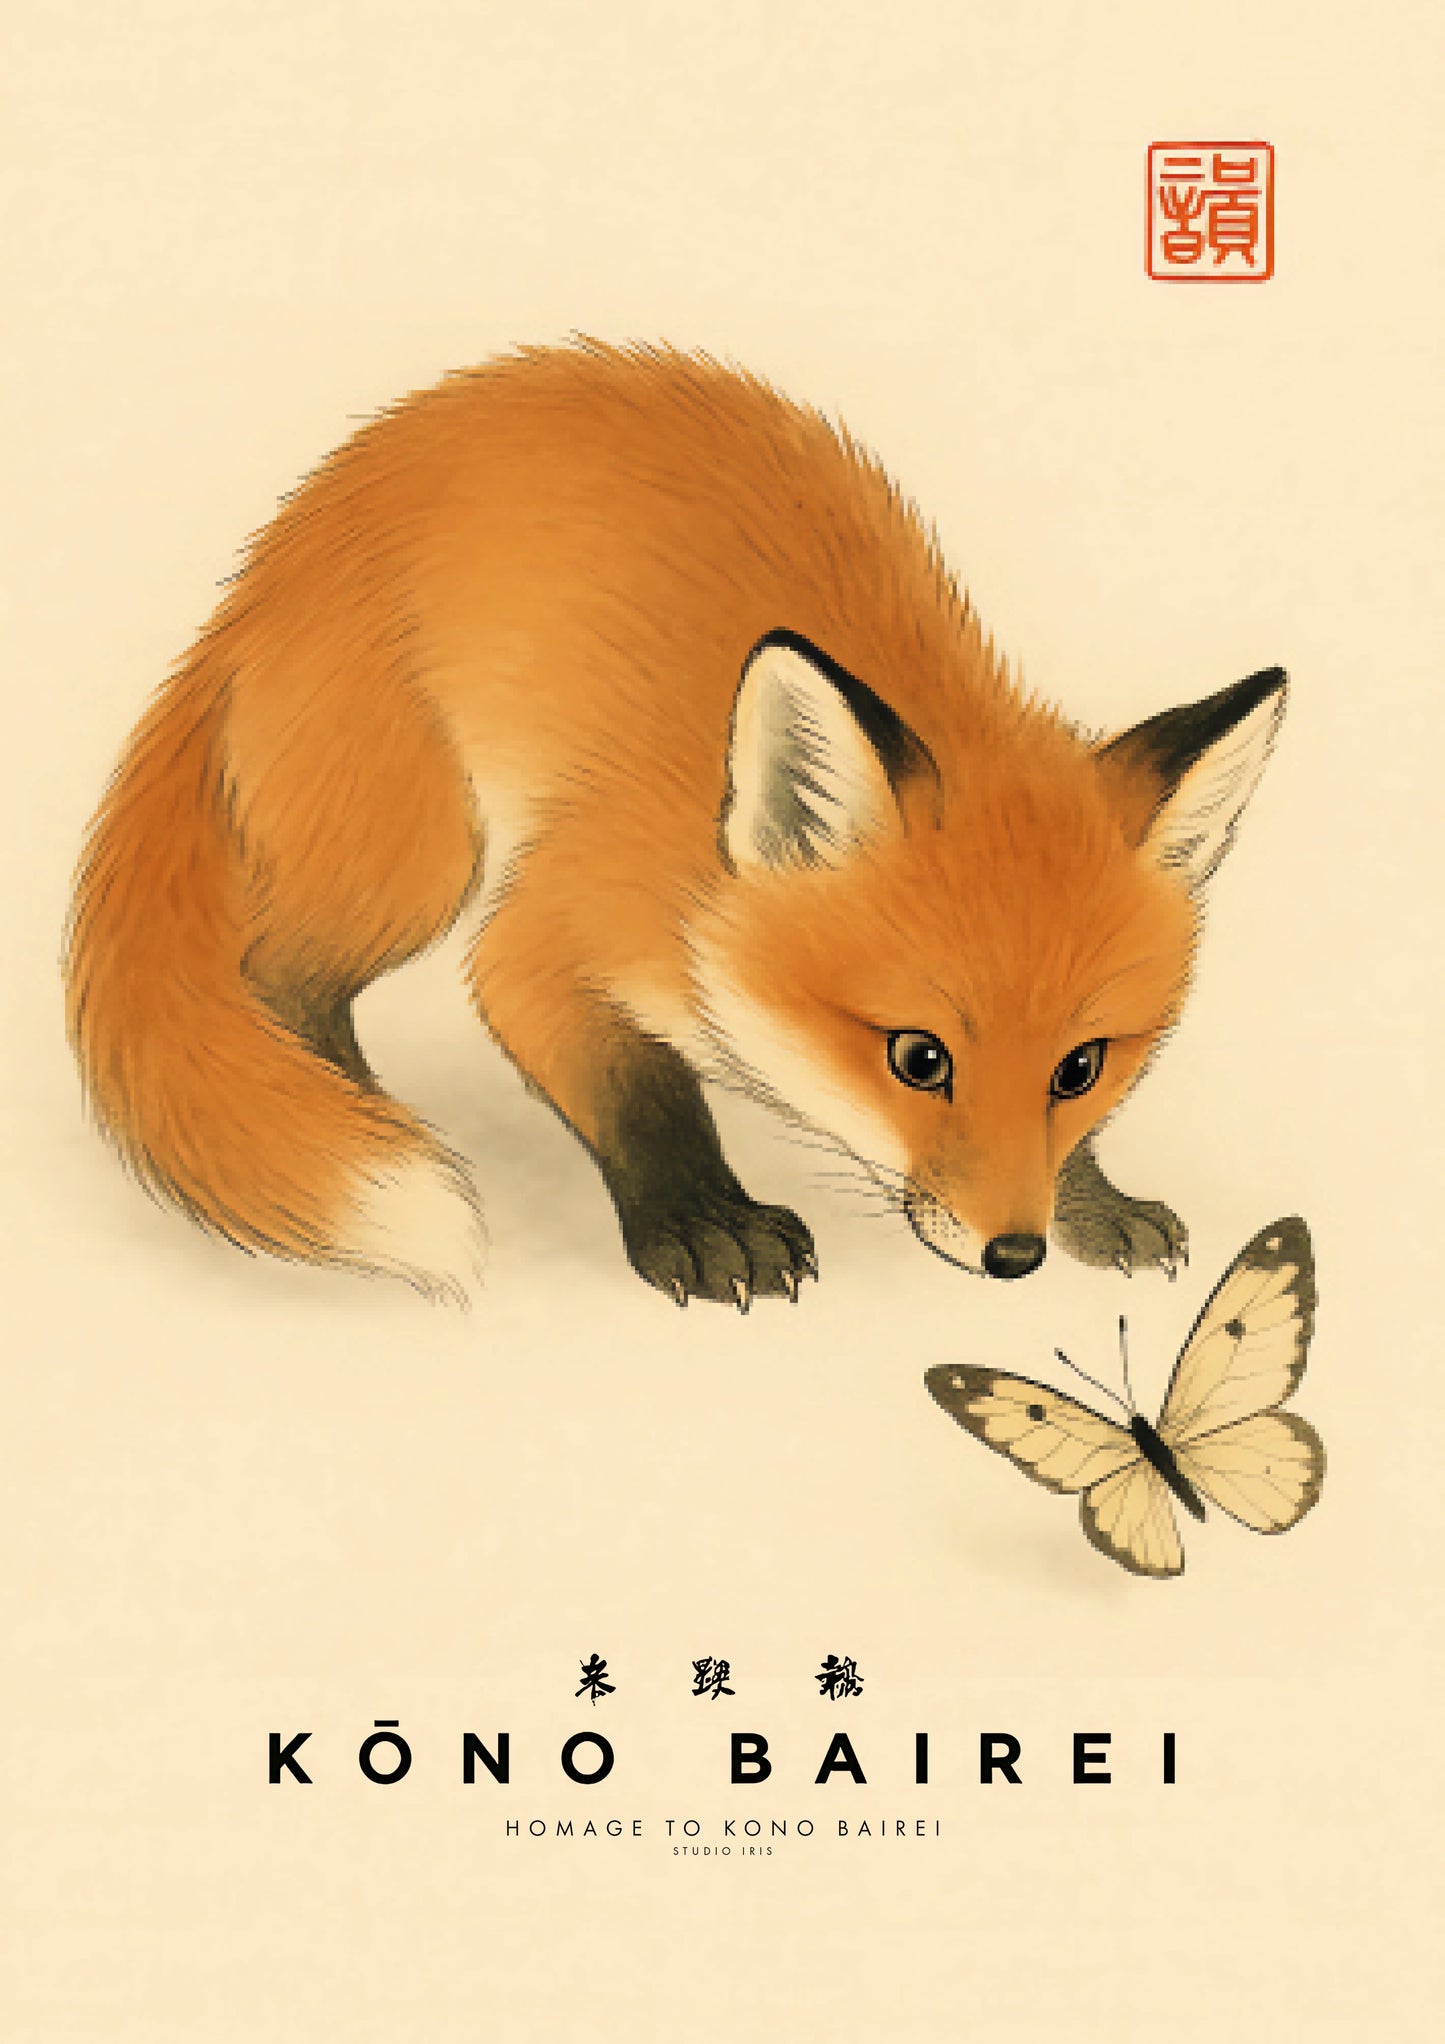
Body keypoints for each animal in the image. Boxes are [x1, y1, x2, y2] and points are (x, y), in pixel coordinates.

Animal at [65, 341, 1286, 1309]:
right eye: (918, 1057)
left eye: (1079, 1068)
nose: (1014, 1256)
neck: (710, 879)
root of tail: (254, 580)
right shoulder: (553, 932)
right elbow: (636, 1093)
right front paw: (703, 1220)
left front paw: (1095, 1202)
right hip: (414, 863)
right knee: (280, 974)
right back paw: (348, 1101)